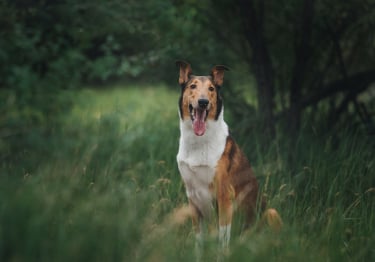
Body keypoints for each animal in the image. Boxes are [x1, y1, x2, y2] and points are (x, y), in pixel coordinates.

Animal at [176, 60, 282, 251]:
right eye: (192, 86)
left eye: (211, 88)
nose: (203, 102)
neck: (199, 142)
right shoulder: (193, 198)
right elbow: (199, 241)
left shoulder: (225, 196)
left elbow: (223, 240)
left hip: (271, 212)